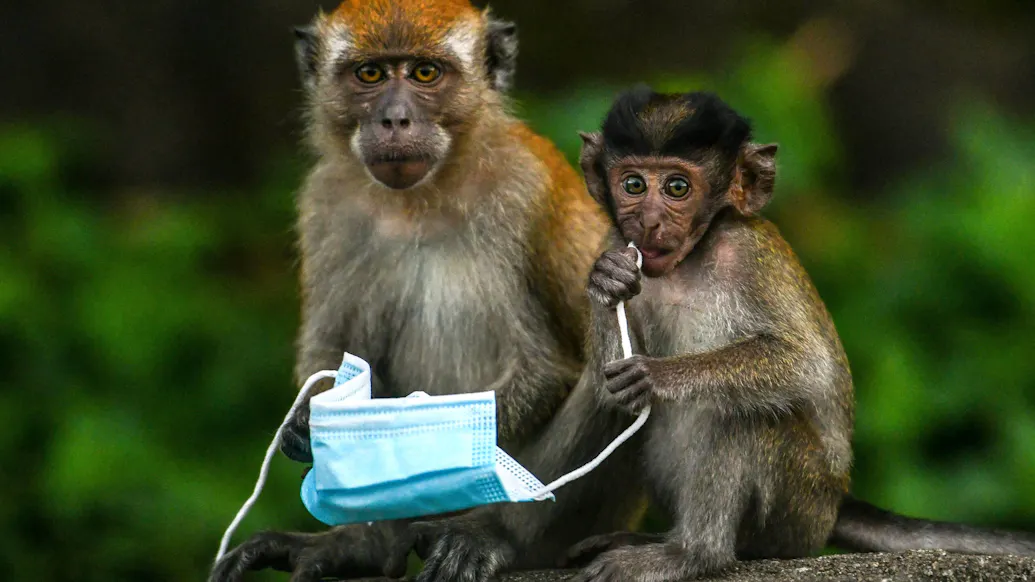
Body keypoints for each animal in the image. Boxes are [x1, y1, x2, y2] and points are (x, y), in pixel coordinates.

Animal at [205, 2, 658, 581]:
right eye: (370, 74)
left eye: (424, 73)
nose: (395, 120)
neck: (421, 198)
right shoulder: (326, 205)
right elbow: (333, 350)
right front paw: (308, 427)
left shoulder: (521, 191)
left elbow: (543, 368)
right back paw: (362, 544)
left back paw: (491, 535)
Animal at [552, 86, 1035, 582]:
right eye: (633, 185)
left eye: (677, 188)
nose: (647, 221)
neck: (689, 261)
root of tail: (837, 503)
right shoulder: (614, 241)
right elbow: (613, 395)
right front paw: (607, 280)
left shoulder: (749, 256)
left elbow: (806, 365)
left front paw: (658, 376)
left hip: (801, 507)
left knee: (744, 412)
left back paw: (693, 554)